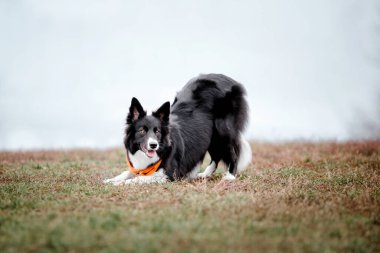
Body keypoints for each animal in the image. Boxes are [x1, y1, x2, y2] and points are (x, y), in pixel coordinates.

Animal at [104, 73, 252, 184]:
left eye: (157, 131)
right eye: (142, 131)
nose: (153, 145)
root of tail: (230, 79)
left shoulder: (169, 175)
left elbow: (140, 178)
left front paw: (121, 183)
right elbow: (127, 172)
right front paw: (110, 180)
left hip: (222, 131)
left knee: (232, 153)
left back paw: (230, 176)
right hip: (210, 136)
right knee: (216, 156)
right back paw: (204, 174)